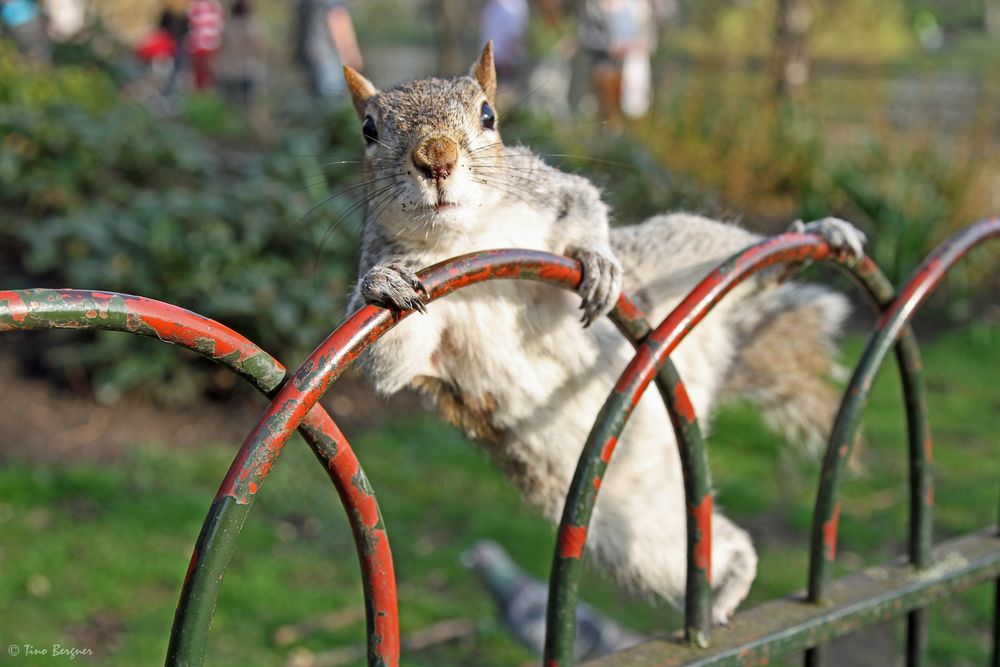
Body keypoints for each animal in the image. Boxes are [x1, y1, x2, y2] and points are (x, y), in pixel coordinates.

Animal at [340, 44, 864, 624]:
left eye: (488, 115)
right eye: (368, 129)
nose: (436, 158)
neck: (468, 239)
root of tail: (699, 381)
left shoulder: (551, 191)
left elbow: (585, 203)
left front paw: (596, 260)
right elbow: (389, 363)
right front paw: (381, 282)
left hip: (687, 254)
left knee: (743, 259)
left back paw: (809, 237)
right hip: (633, 532)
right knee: (722, 547)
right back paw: (726, 590)